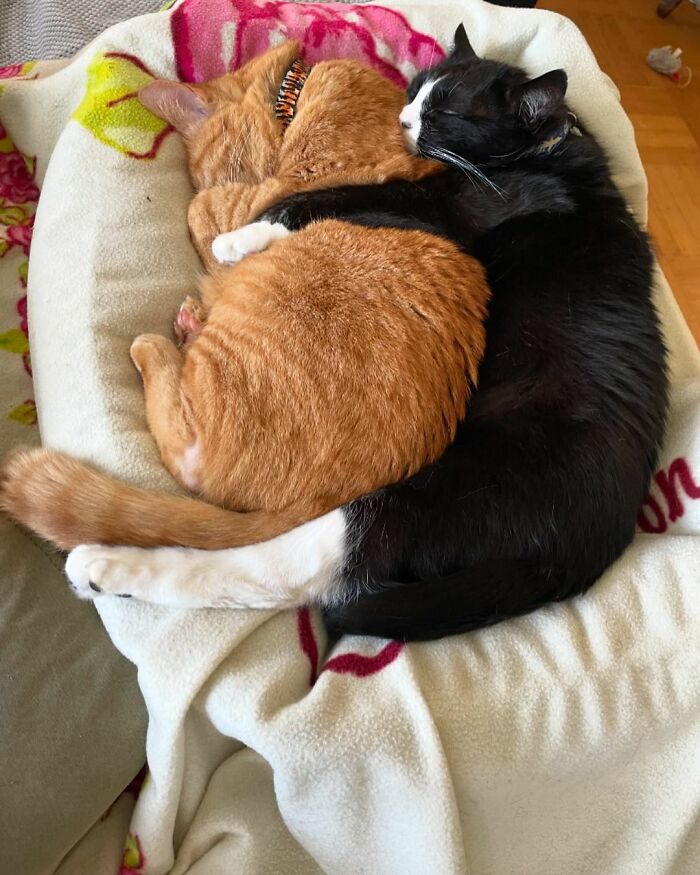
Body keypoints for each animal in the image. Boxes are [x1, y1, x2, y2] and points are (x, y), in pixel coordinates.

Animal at [0, 42, 490, 548]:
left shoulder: (276, 193)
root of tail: (322, 505)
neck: (296, 96)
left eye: (210, 175)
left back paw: (167, 340)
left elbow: (202, 211)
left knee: (186, 448)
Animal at [258, 27, 668, 640]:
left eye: (445, 113)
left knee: (324, 556)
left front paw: (251, 228)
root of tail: (581, 558)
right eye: (414, 89)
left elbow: (356, 196)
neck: (543, 153)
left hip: (451, 491)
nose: (403, 119)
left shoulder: (447, 212)